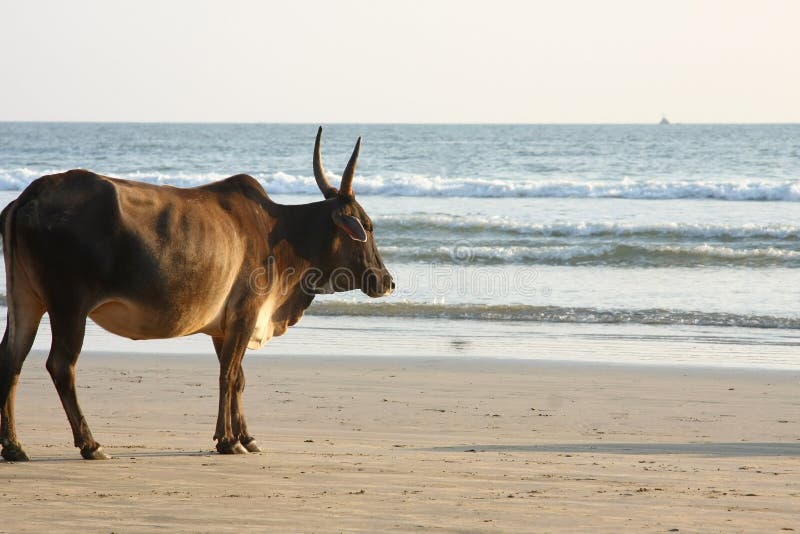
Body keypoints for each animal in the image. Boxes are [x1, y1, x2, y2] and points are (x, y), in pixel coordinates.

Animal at [0, 128, 394, 461]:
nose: (387, 281)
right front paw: (229, 440)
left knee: (12, 359)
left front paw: (246, 437)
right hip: (69, 306)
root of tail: (32, 193)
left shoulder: (225, 326)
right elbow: (229, 376)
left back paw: (14, 446)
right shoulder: (245, 314)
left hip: (25, 300)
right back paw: (90, 444)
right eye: (368, 226)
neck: (281, 234)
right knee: (61, 365)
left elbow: (237, 378)